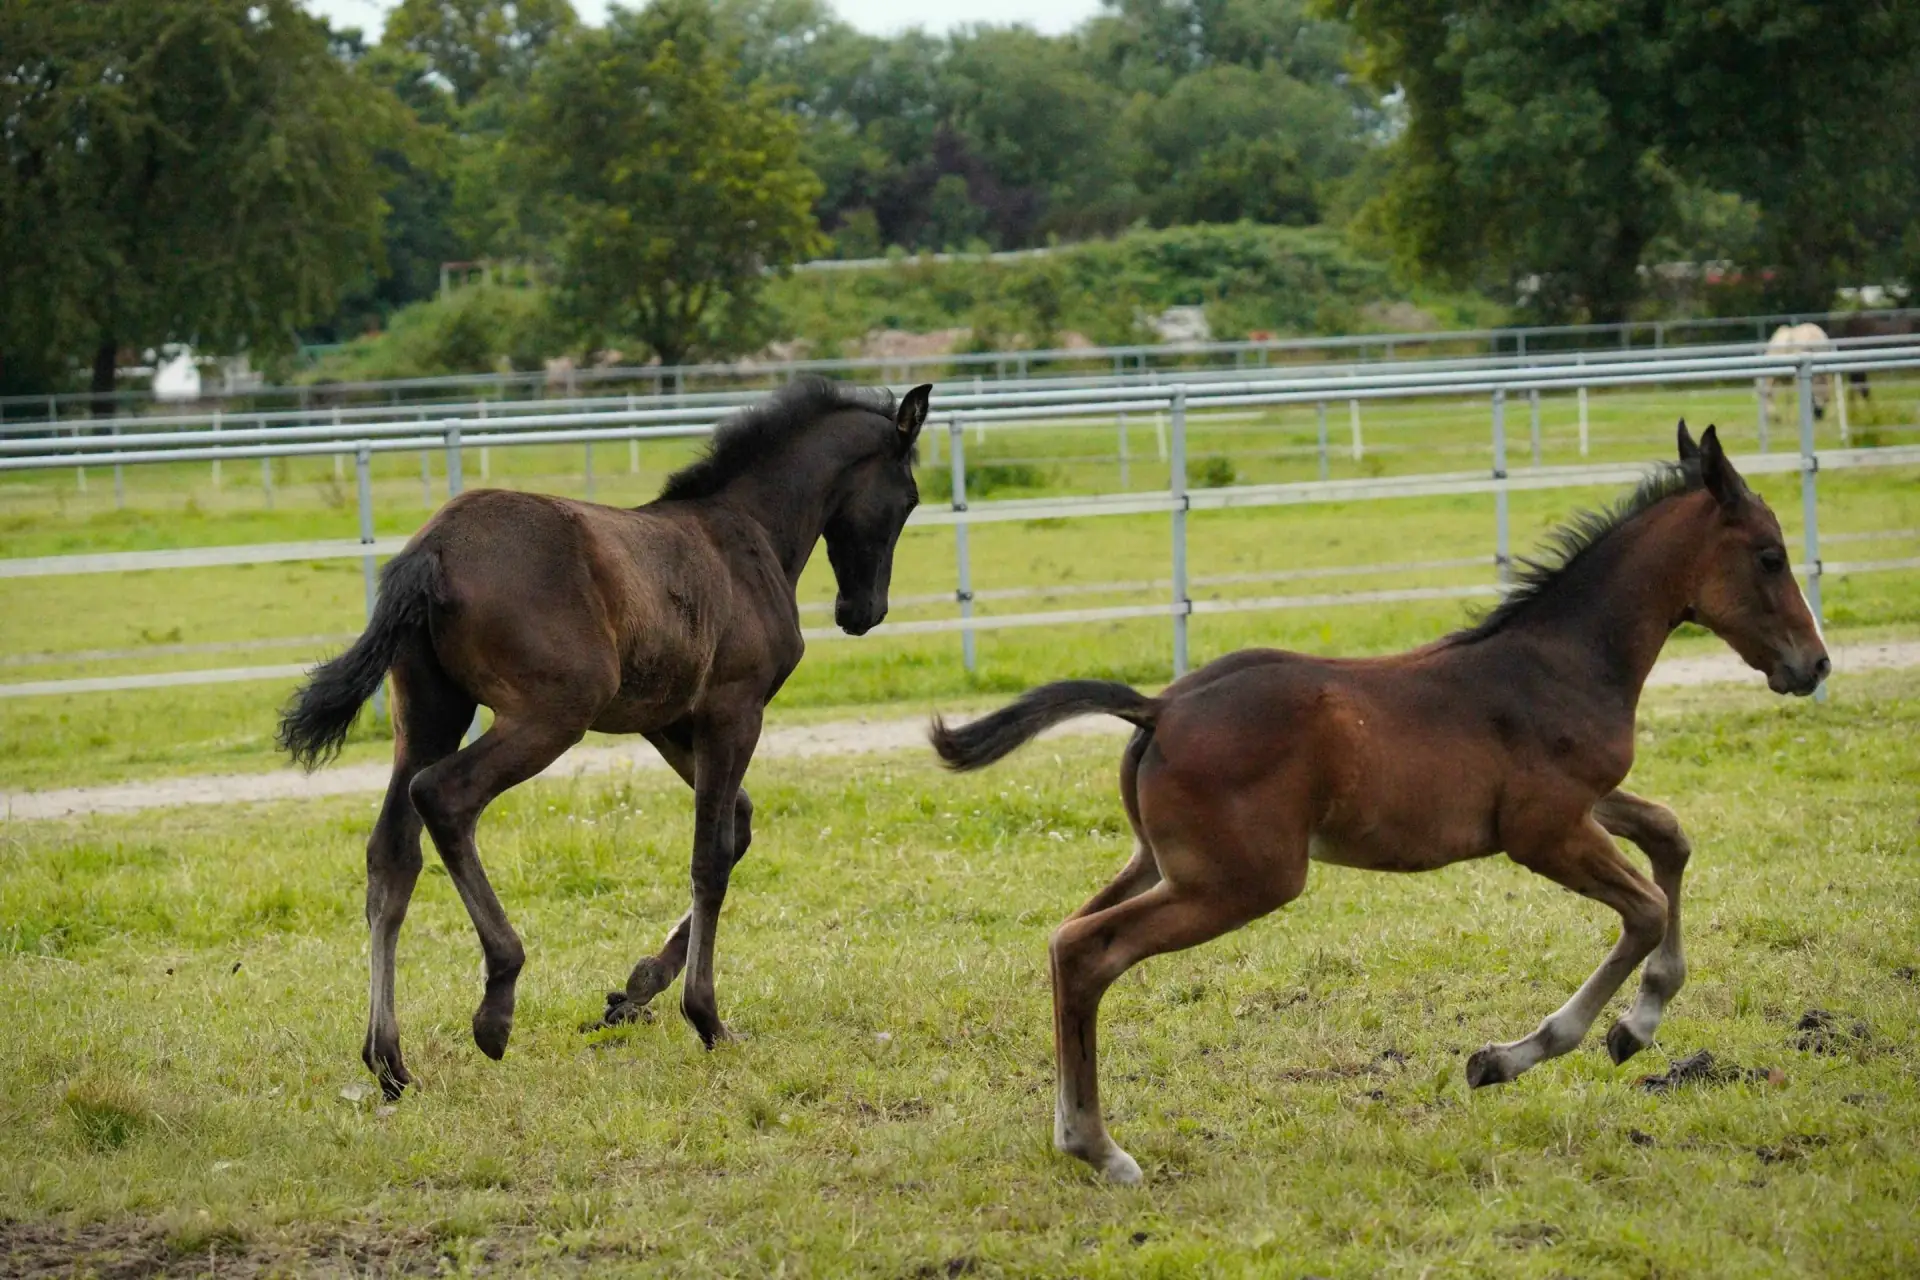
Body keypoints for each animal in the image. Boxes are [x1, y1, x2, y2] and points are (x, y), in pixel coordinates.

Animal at [279, 377, 933, 1098]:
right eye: (909, 498)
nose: (863, 612)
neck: (746, 534)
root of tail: (435, 548)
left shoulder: (666, 722)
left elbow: (738, 825)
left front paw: (634, 991)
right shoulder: (734, 710)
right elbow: (710, 857)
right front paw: (706, 1018)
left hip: (429, 712)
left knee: (391, 855)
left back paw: (388, 1060)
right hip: (552, 713)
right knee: (444, 798)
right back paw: (496, 1000)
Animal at [930, 423, 1828, 1184]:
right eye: (1771, 556)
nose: (1814, 664)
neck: (1563, 660)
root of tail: (1159, 709)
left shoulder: (1580, 805)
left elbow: (1670, 839)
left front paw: (1630, 1029)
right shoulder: (1542, 832)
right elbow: (1643, 910)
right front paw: (1534, 1051)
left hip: (1159, 863)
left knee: (1063, 942)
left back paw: (1075, 1135)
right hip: (1239, 881)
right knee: (1091, 951)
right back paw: (1100, 1148)